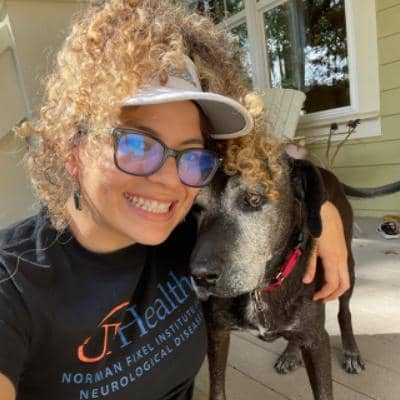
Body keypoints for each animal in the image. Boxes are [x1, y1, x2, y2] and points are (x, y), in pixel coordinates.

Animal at [190, 155, 400, 400]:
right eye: (196, 208)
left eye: (253, 198)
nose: (201, 276)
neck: (262, 288)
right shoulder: (217, 332)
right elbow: (217, 388)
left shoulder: (317, 341)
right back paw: (291, 353)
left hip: (346, 267)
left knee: (344, 312)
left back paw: (351, 351)